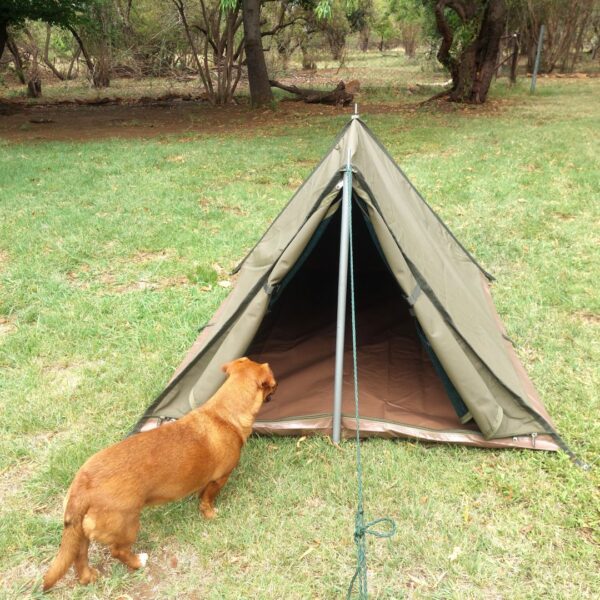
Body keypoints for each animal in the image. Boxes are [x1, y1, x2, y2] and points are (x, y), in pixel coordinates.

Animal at [42, 356, 276, 592]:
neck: (223, 413)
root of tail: (82, 486)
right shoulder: (220, 478)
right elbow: (207, 499)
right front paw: (210, 514)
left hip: (80, 533)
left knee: (79, 557)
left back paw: (88, 577)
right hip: (127, 526)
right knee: (118, 551)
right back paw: (138, 562)